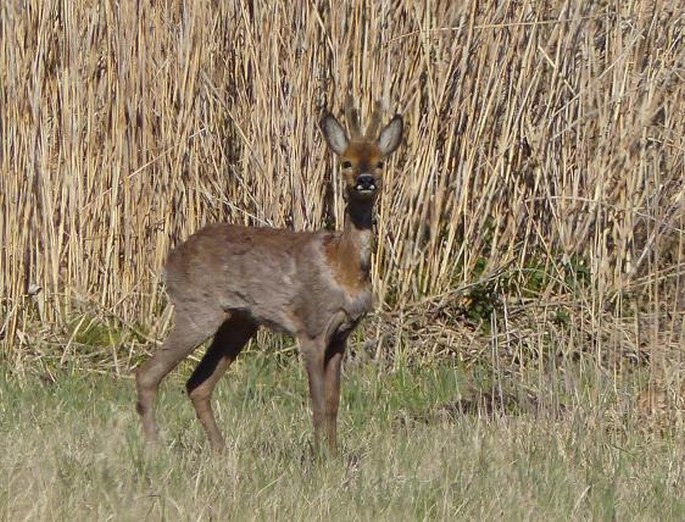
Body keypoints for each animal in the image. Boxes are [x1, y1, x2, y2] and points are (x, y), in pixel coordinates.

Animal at [134, 99, 400, 452]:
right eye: (347, 162)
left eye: (381, 163)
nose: (366, 180)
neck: (342, 267)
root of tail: (170, 260)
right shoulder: (312, 328)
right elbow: (317, 402)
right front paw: (320, 457)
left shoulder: (342, 335)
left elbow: (333, 403)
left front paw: (333, 453)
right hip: (197, 310)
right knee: (148, 374)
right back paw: (154, 448)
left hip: (239, 322)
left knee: (197, 384)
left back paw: (221, 452)